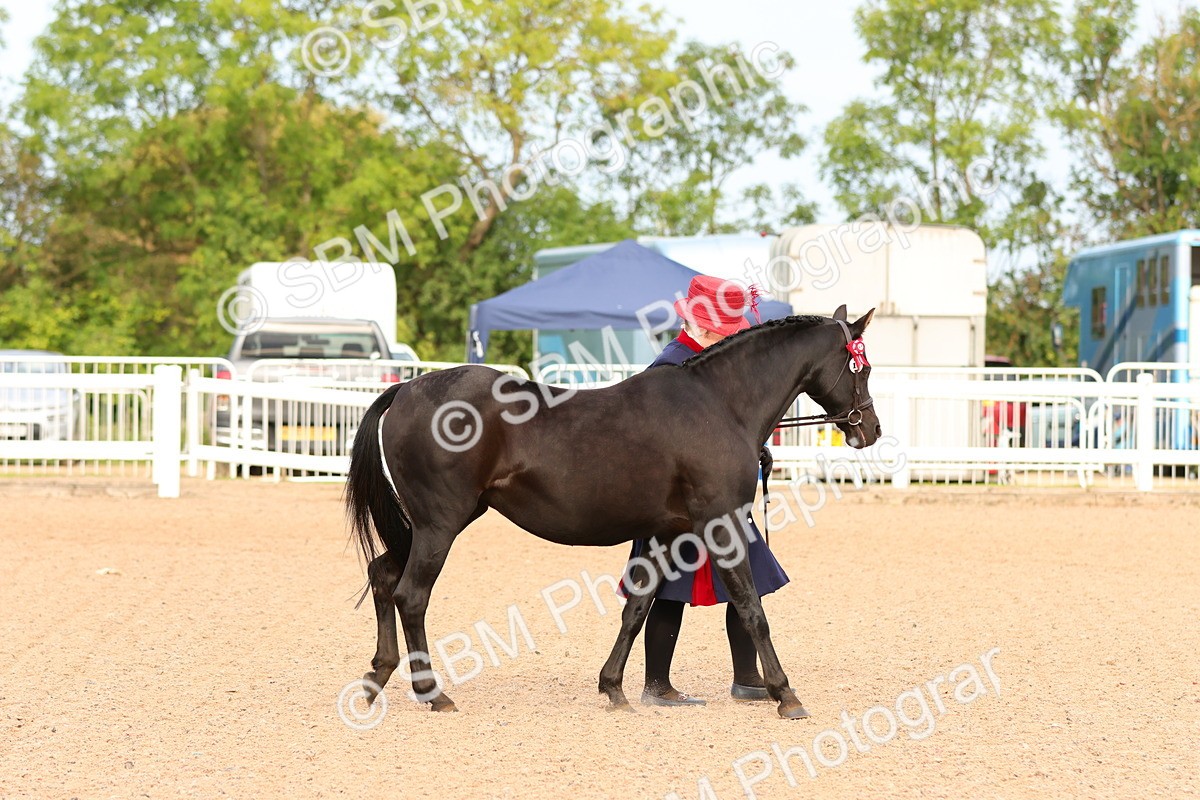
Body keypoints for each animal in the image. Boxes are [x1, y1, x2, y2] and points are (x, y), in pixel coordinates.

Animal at [345, 305, 880, 719]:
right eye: (862, 367)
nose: (869, 429)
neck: (718, 403)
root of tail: (407, 390)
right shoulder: (721, 525)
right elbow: (752, 607)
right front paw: (785, 693)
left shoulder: (670, 533)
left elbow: (638, 608)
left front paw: (614, 687)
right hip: (439, 525)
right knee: (411, 596)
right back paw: (432, 693)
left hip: (429, 525)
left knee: (383, 576)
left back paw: (378, 676)